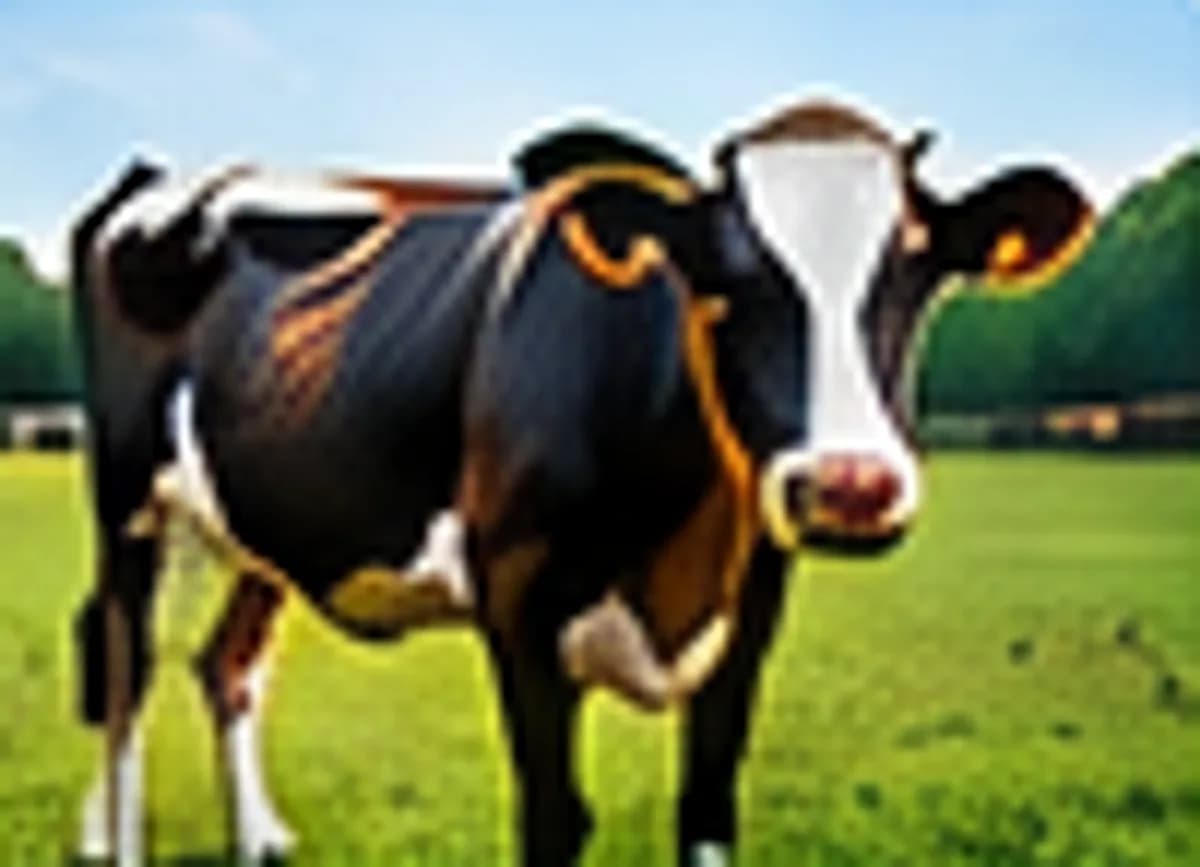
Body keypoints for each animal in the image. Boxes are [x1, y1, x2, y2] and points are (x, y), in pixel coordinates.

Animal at [69, 100, 1092, 867]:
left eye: (918, 270)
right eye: (723, 274)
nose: (850, 483)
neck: (680, 559)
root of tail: (166, 176)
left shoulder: (751, 615)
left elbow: (705, 808)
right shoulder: (518, 605)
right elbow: (556, 816)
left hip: (272, 521)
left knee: (226, 663)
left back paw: (261, 838)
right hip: (126, 499)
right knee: (124, 665)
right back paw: (112, 839)